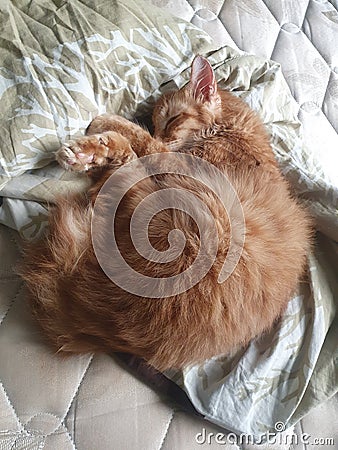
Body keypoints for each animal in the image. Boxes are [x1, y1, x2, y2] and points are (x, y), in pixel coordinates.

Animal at [19, 56, 312, 370]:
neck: (231, 129)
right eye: (158, 124)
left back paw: (86, 151)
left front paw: (107, 121)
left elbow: (141, 138)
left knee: (118, 166)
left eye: (171, 120)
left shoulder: (175, 161)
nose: (162, 132)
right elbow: (144, 140)